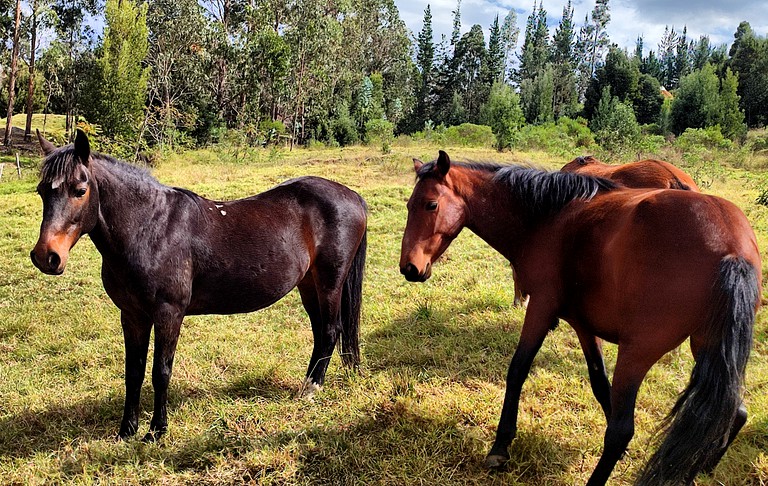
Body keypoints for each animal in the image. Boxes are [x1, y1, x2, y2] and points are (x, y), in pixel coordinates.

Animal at [34, 131, 370, 442]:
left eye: (80, 190)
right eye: (41, 191)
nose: (46, 256)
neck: (151, 229)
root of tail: (352, 196)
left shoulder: (169, 313)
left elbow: (160, 372)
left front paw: (156, 431)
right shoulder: (132, 315)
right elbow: (134, 372)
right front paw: (127, 430)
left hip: (330, 282)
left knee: (330, 331)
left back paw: (311, 390)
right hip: (308, 283)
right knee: (320, 332)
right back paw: (306, 385)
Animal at [400, 150, 760, 484]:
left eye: (431, 205)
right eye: (408, 205)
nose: (409, 268)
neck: (548, 218)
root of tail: (733, 249)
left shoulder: (541, 308)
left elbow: (517, 370)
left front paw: (501, 446)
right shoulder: (584, 325)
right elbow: (599, 382)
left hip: (638, 352)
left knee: (621, 432)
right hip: (709, 348)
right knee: (732, 412)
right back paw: (698, 469)